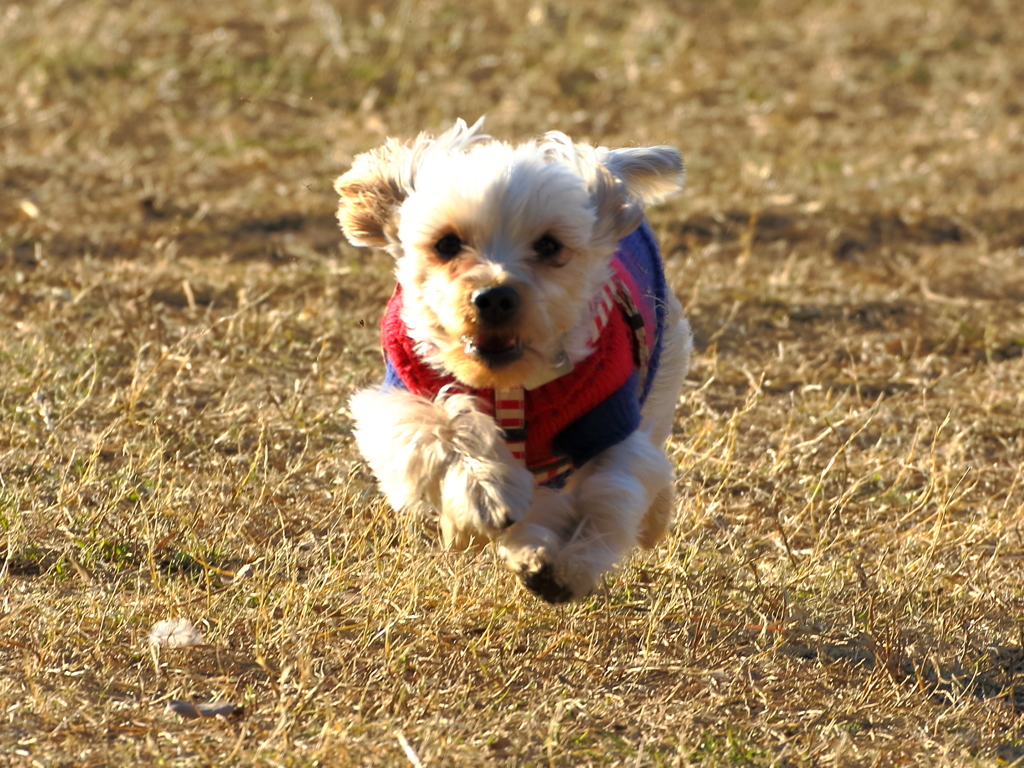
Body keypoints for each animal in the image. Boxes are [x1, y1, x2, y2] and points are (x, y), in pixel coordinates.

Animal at [339, 117, 692, 606]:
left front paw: (569, 564)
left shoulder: (610, 418)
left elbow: (610, 490)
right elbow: (438, 426)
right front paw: (486, 493)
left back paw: (649, 522)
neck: (511, 384)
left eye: (548, 245)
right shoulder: (400, 392)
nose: (494, 297)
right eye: (446, 244)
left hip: (662, 368)